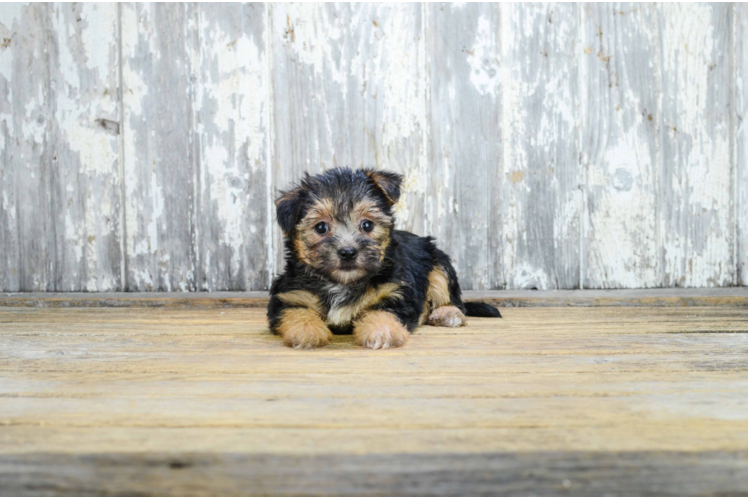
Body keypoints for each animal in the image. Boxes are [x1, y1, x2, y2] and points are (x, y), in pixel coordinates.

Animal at [266, 166, 500, 350]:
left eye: (367, 225)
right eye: (321, 227)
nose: (348, 251)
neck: (343, 283)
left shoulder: (396, 292)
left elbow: (384, 311)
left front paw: (381, 331)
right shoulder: (290, 294)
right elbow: (296, 310)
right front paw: (306, 330)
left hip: (438, 262)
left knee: (450, 296)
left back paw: (447, 313)